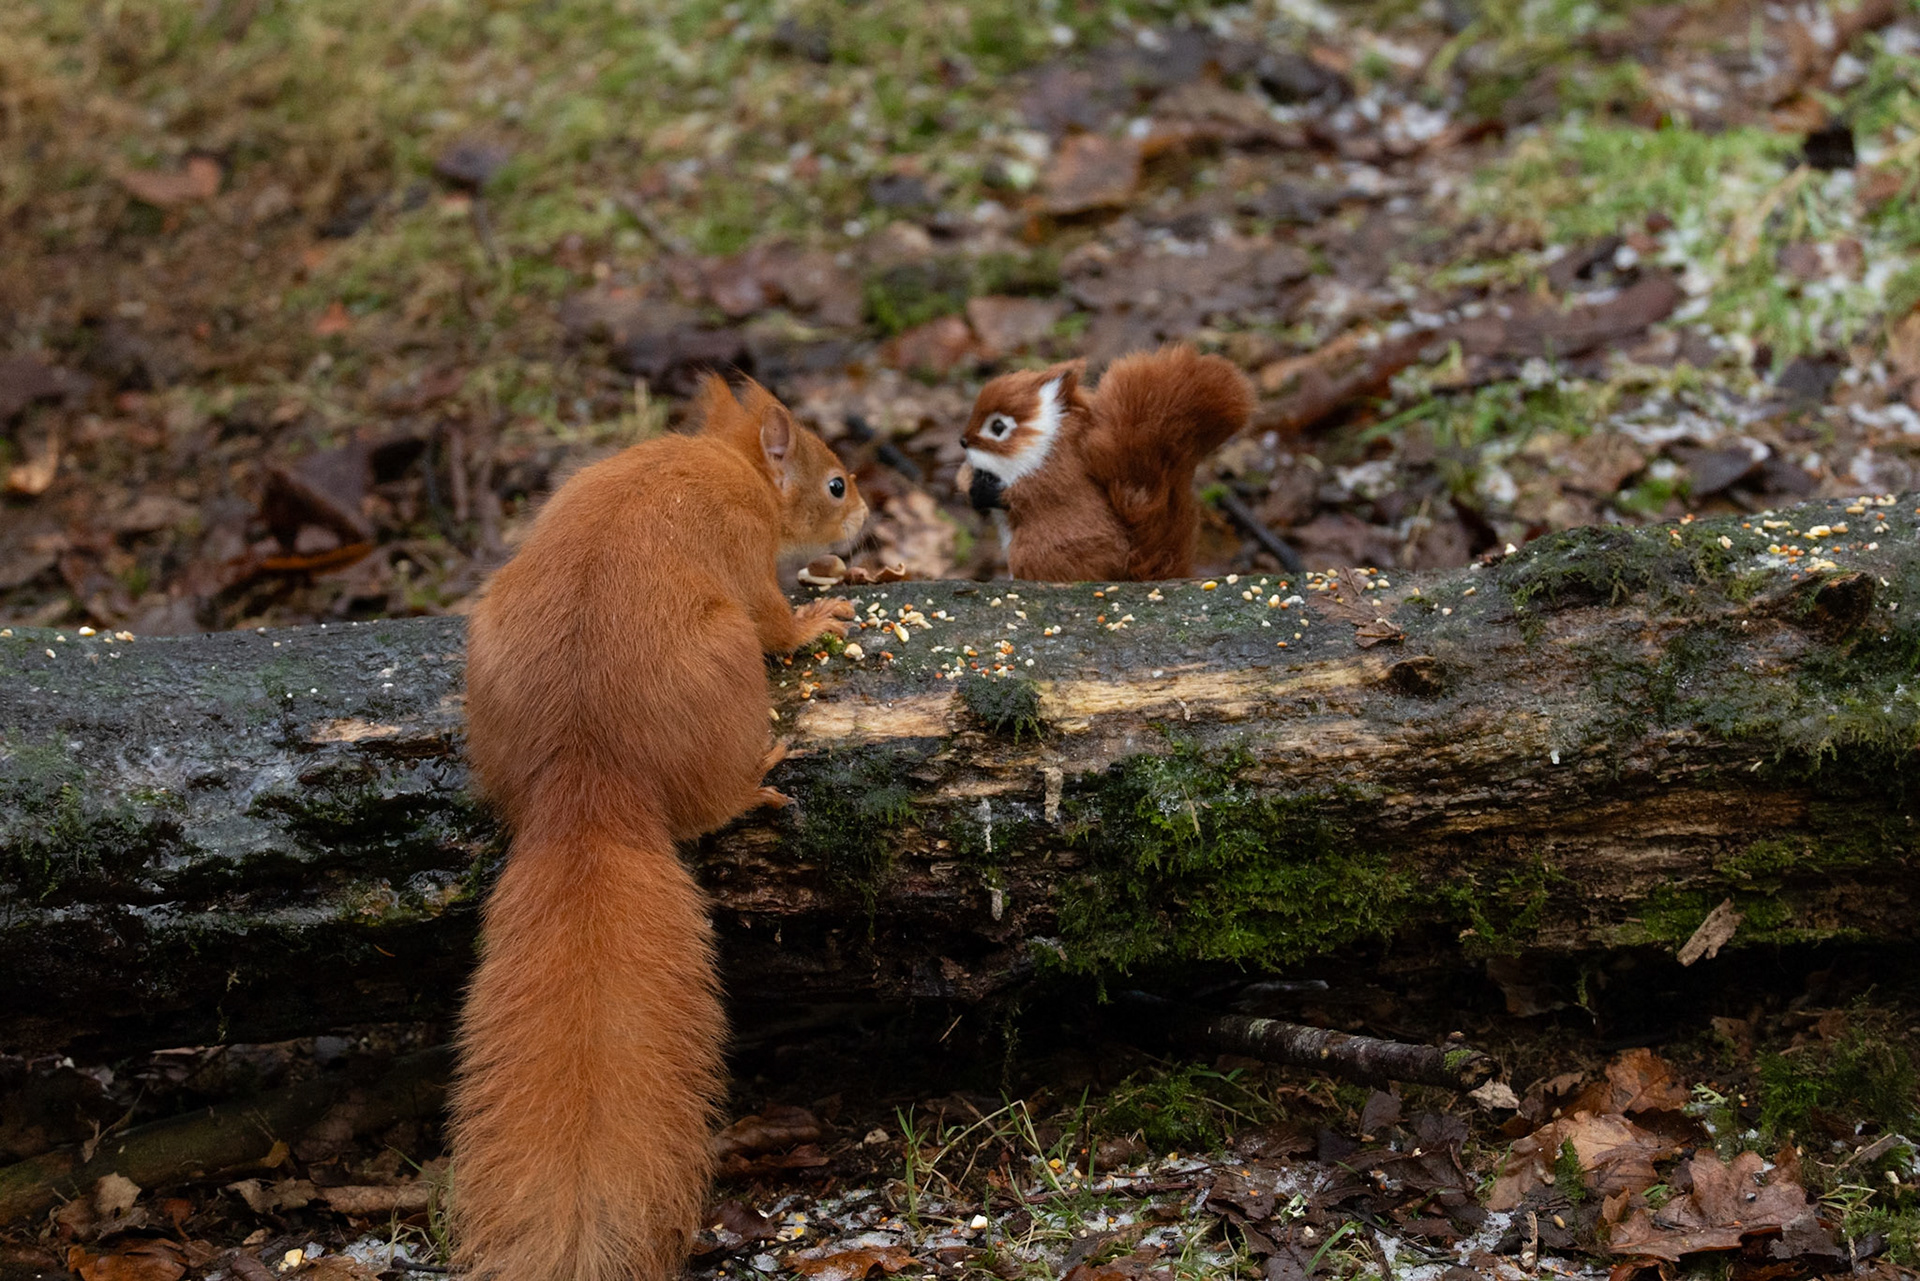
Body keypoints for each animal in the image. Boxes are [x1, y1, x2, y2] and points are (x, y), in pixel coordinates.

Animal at [451, 374, 867, 1281]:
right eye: (835, 483)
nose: (863, 523)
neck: (733, 464)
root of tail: (589, 778)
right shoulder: (747, 552)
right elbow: (778, 618)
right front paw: (819, 620)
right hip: (728, 655)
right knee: (718, 787)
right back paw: (755, 777)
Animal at [960, 344, 1253, 582]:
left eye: (998, 427)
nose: (962, 441)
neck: (1041, 443)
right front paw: (967, 480)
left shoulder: (1051, 475)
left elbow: (1026, 494)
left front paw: (982, 491)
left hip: (1034, 554)